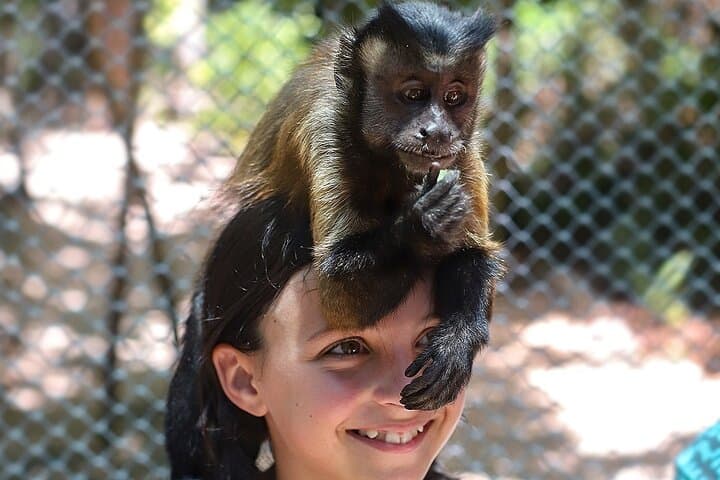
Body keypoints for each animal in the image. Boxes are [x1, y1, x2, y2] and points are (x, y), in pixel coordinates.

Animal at [216, 1, 504, 411]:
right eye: (414, 94)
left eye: (453, 98)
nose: (436, 131)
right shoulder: (326, 126)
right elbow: (338, 295)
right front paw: (422, 224)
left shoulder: (459, 153)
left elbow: (472, 254)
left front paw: (457, 341)